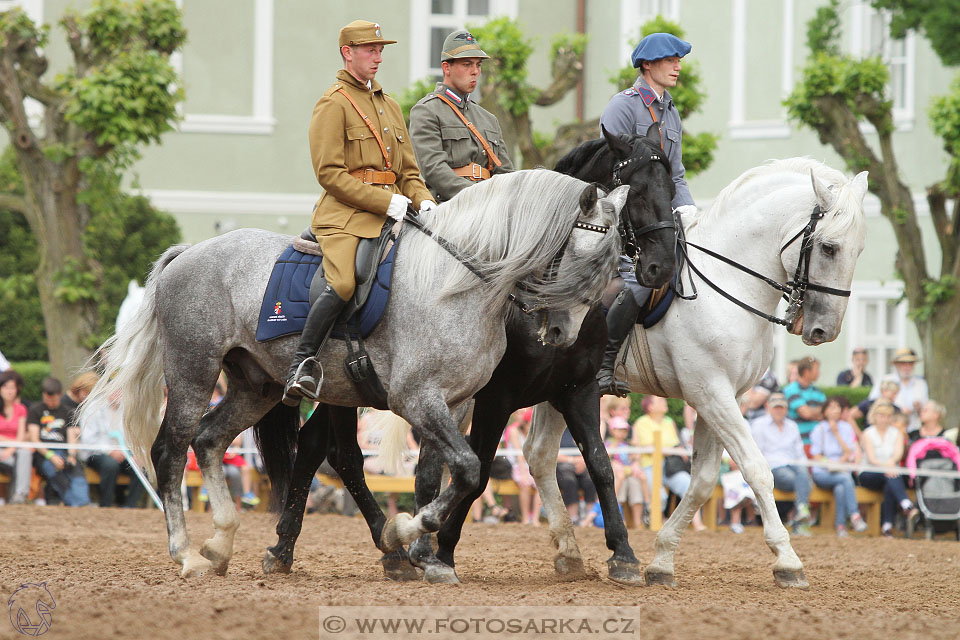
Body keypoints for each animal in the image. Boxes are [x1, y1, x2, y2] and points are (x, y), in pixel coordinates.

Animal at [79, 168, 628, 576]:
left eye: (612, 264)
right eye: (585, 260)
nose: (562, 332)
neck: (457, 282)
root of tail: (189, 252)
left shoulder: (456, 403)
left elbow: (449, 473)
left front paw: (420, 551)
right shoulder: (419, 399)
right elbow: (471, 469)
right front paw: (406, 533)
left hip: (256, 385)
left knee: (210, 439)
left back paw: (222, 543)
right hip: (194, 371)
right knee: (171, 450)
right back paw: (189, 553)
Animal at [255, 124, 676, 584]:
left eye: (672, 186)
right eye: (638, 192)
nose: (661, 268)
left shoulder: (577, 391)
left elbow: (600, 464)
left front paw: (623, 555)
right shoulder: (494, 399)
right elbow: (479, 470)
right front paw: (441, 548)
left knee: (319, 448)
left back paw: (315, 547)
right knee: (337, 454)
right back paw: (358, 546)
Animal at [524, 158, 872, 588]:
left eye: (859, 250)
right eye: (828, 247)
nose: (825, 331)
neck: (726, 284)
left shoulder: (725, 397)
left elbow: (704, 480)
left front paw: (662, 561)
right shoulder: (710, 393)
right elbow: (757, 469)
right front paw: (788, 561)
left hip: (562, 389)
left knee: (539, 455)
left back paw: (568, 553)